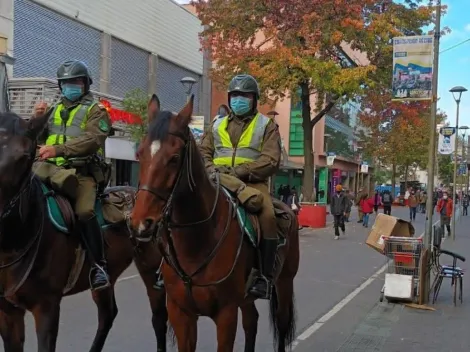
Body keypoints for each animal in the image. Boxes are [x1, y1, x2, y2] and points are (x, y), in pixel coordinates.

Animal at [0, 110, 167, 352]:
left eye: (24, 156)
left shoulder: (47, 307)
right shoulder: (7, 312)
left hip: (151, 268)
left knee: (159, 317)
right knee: (108, 314)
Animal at [131, 95, 302, 350]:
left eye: (174, 158)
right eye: (140, 154)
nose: (141, 223)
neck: (198, 242)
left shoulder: (226, 314)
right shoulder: (181, 313)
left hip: (284, 283)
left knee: (281, 326)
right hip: (246, 298)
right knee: (252, 322)